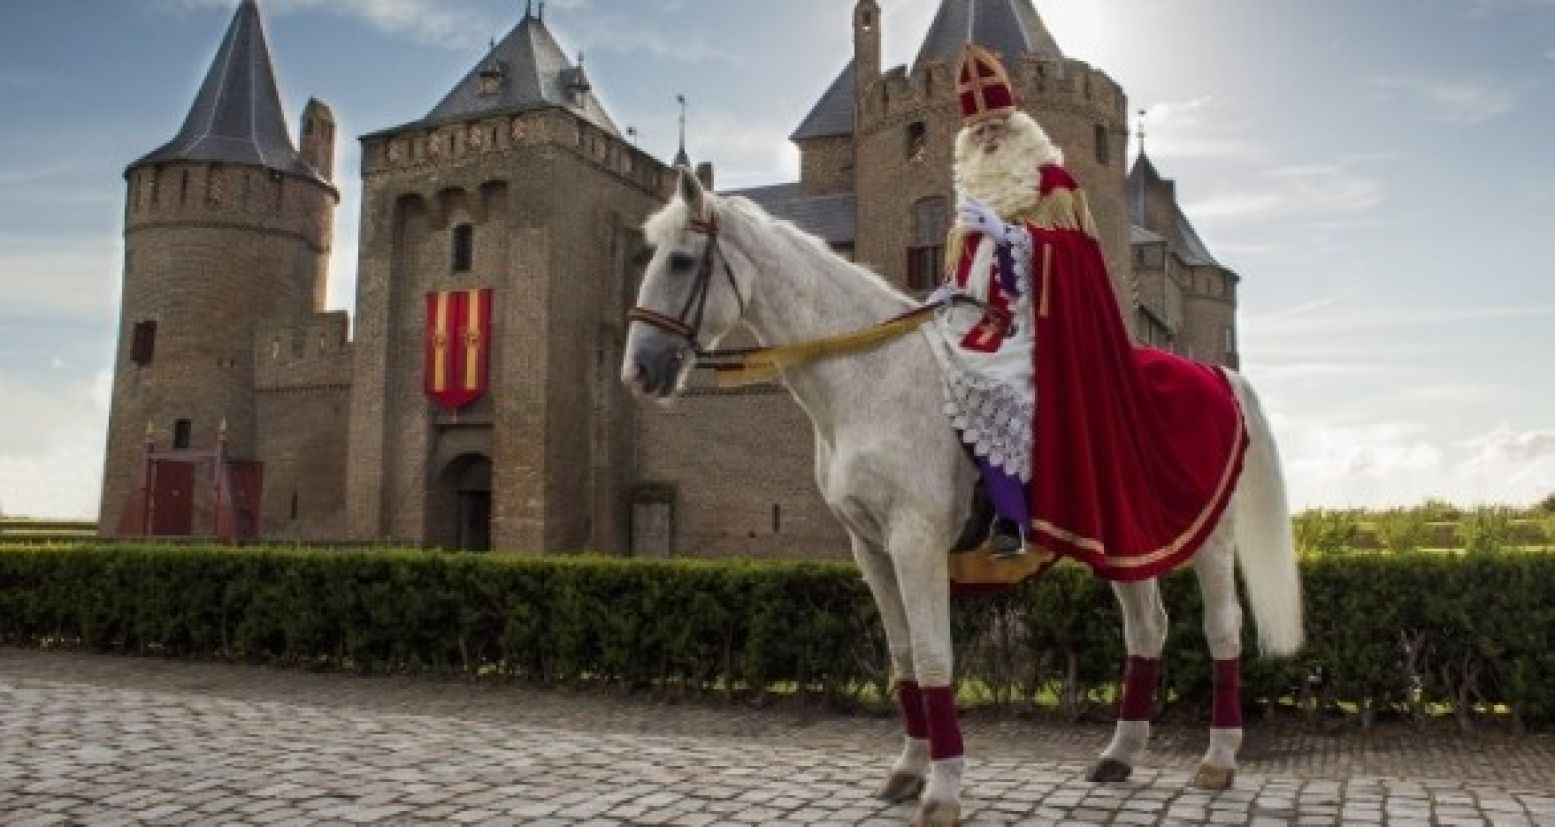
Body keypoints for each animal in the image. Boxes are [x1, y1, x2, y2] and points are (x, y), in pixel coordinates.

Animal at [618, 169, 1299, 827]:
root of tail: (1217, 373)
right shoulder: (869, 547)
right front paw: (908, 770)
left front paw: (942, 790)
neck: (870, 380)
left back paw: (1218, 760)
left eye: (681, 260)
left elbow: (934, 655)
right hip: (1127, 541)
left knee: (1222, 628)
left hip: (1211, 539)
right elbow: (901, 657)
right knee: (1148, 627)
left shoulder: (914, 539)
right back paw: (1119, 755)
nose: (639, 372)